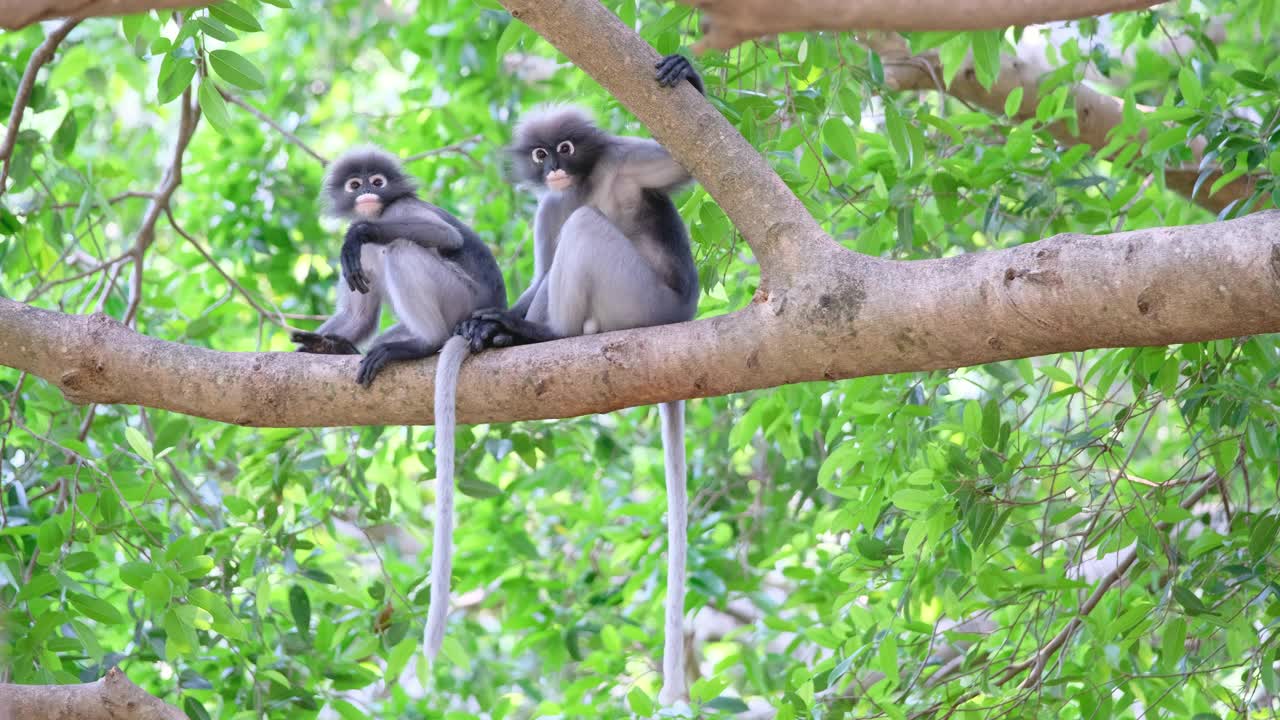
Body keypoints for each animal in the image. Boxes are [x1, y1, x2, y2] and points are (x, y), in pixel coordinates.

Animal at [458, 54, 706, 702]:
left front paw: (687, 72)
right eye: (542, 154)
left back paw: (540, 336)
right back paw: (511, 333)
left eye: (567, 148)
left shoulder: (624, 163)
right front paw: (485, 322)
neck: (586, 182)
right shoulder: (548, 205)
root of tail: (683, 318)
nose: (556, 169)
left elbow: (686, 164)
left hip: (641, 303)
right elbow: (541, 266)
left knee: (587, 230)